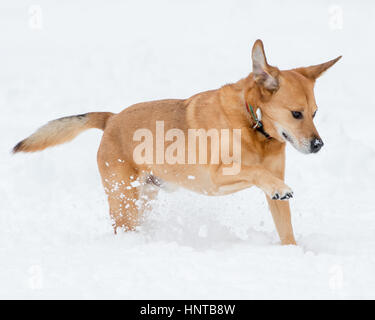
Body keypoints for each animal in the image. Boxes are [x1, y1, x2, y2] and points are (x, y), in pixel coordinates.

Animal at [13, 40, 340, 245]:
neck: (253, 122)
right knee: (122, 226)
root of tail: (111, 119)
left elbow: (286, 230)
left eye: (315, 113)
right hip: (123, 198)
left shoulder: (270, 189)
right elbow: (256, 172)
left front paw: (295, 253)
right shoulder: (216, 176)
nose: (319, 145)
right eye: (296, 114)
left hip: (145, 197)